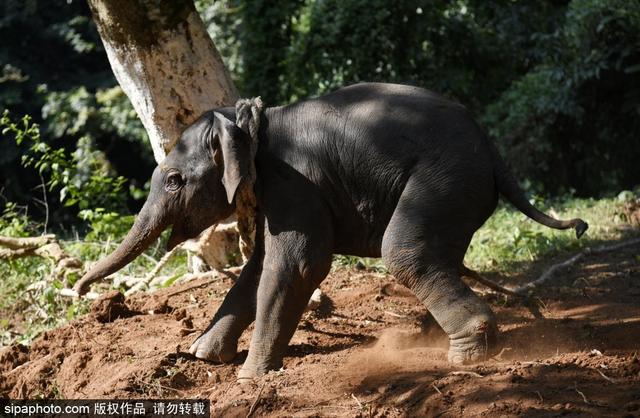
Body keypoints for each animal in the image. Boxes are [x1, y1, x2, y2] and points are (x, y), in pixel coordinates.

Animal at [73, 82, 588, 380]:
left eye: (175, 180)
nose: (78, 290)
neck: (249, 121)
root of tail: (492, 150)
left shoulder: (295, 180)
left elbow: (297, 265)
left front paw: (251, 378)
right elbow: (259, 266)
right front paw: (202, 356)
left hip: (445, 181)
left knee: (404, 252)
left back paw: (466, 356)